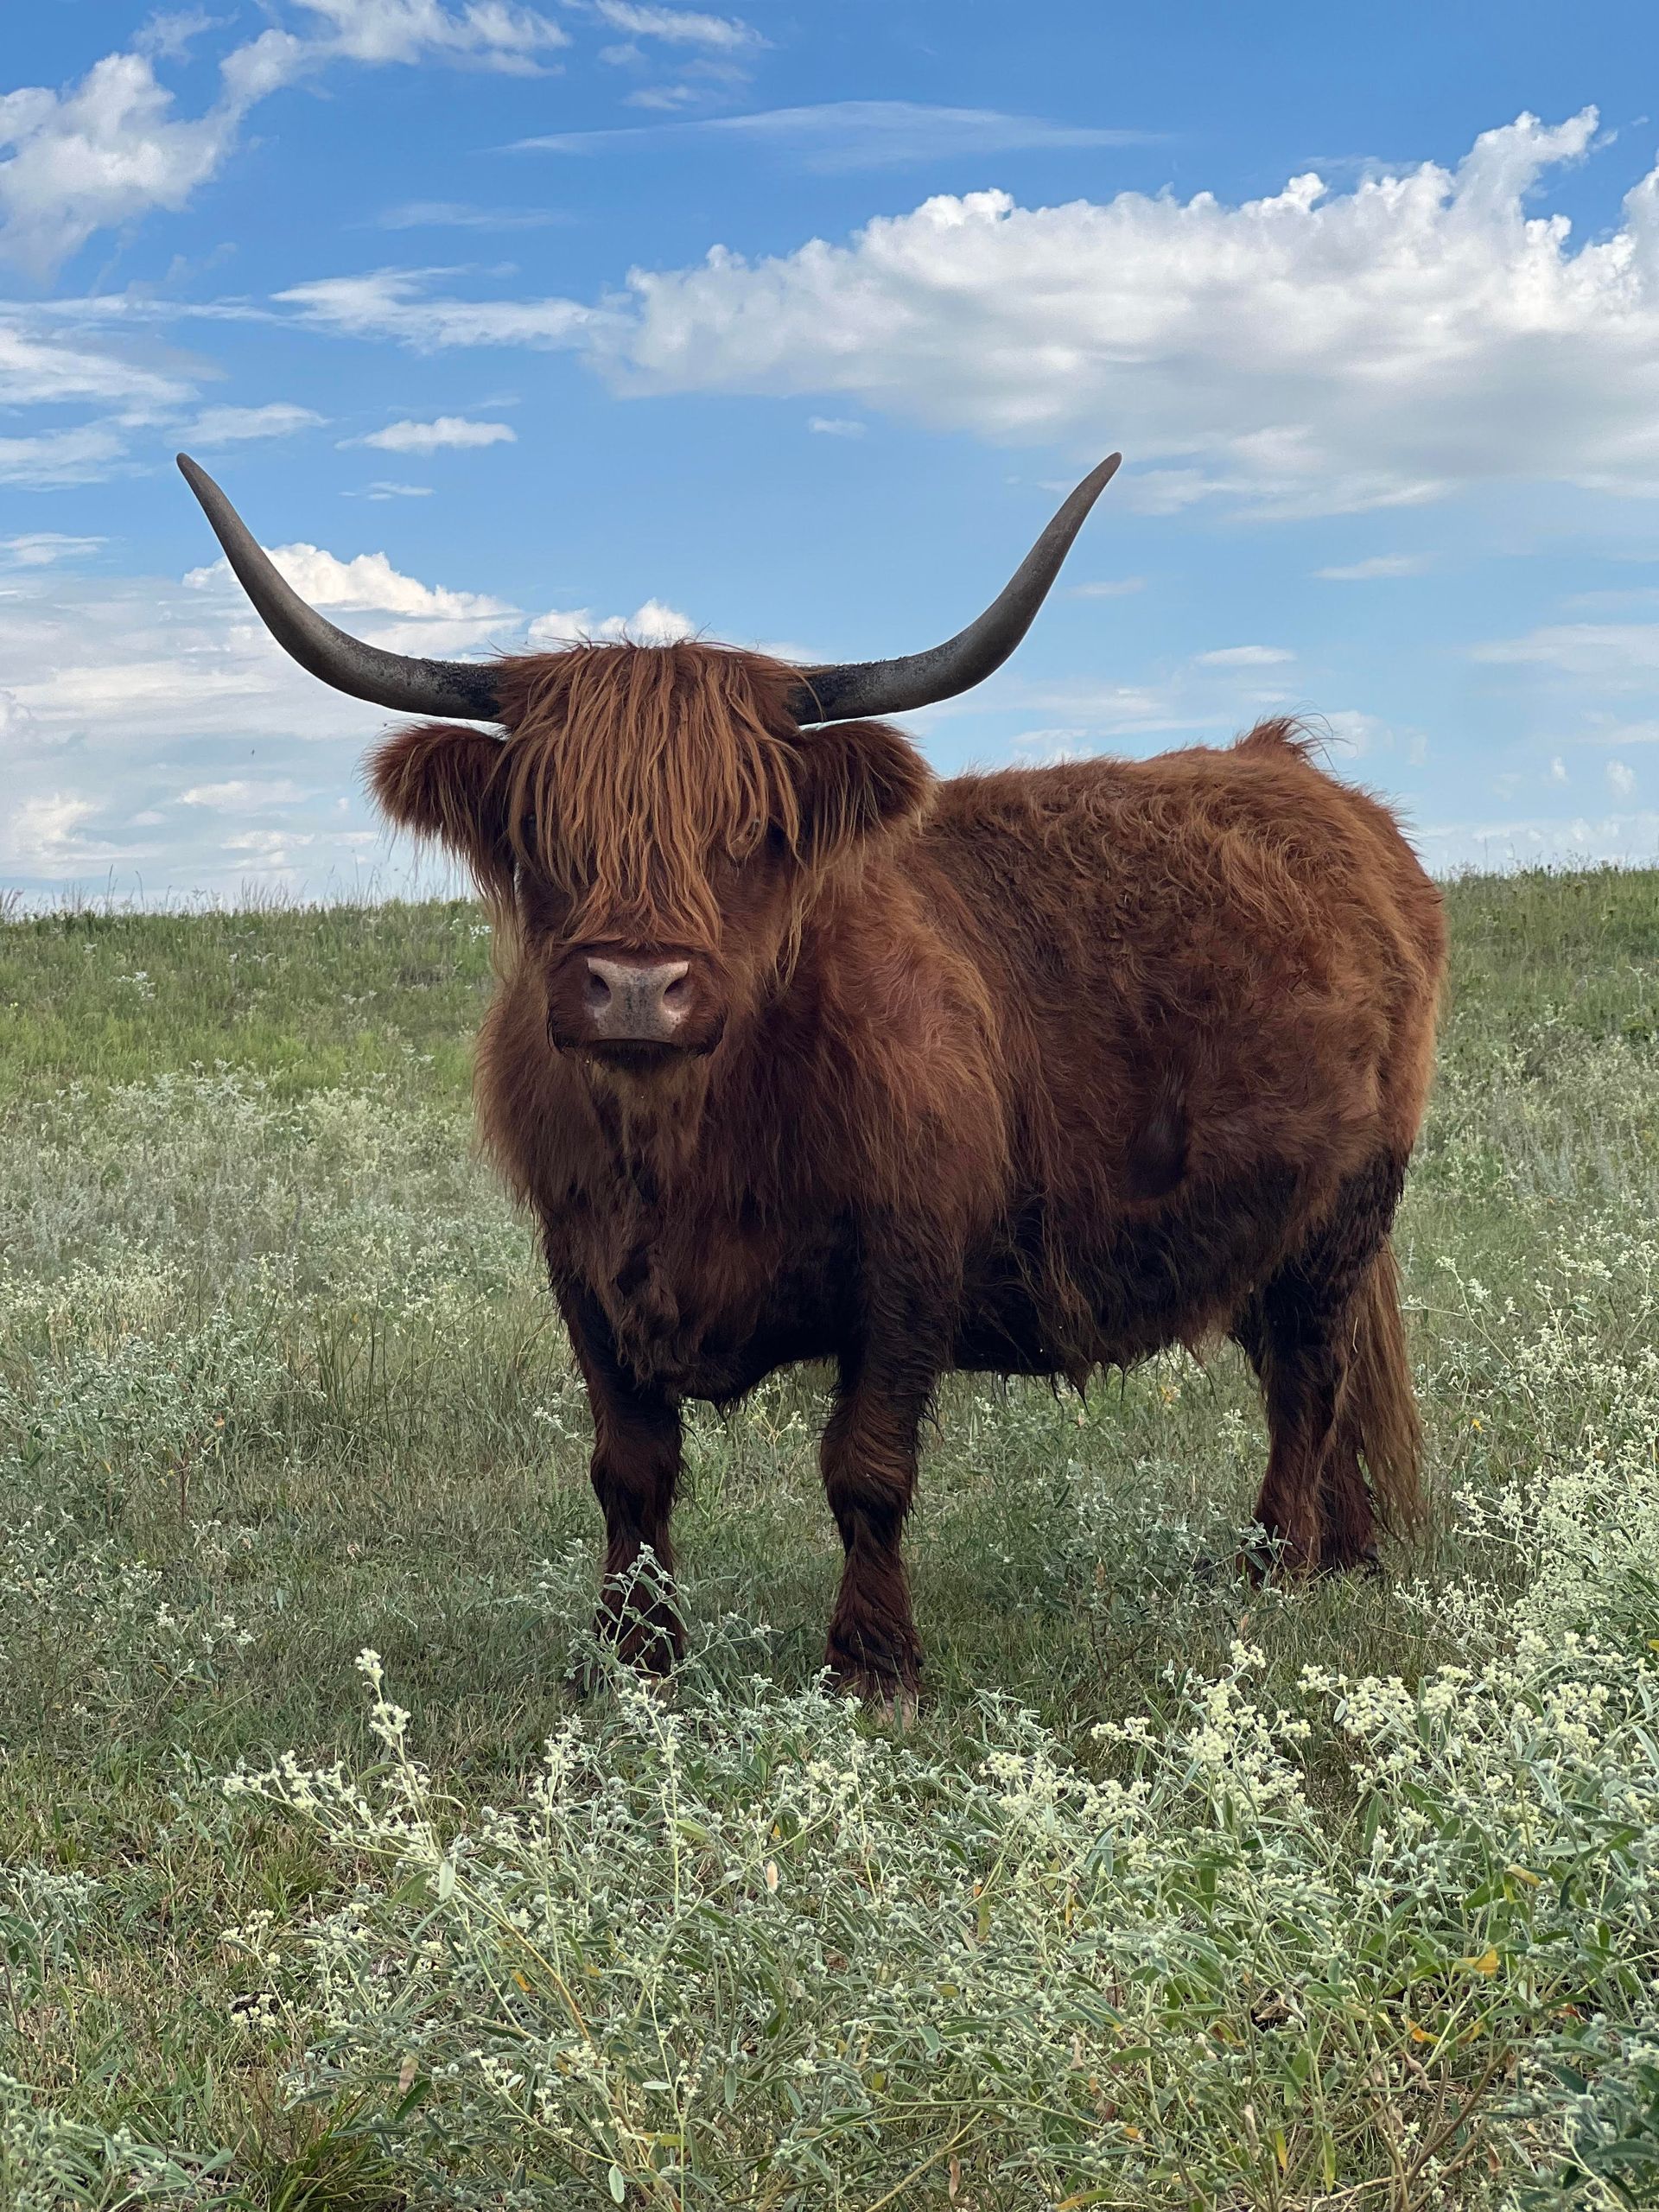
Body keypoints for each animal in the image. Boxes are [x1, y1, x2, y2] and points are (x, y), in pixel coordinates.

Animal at [179, 451, 1446, 1705]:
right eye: (546, 831)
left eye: (747, 829)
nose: (636, 986)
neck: (687, 1140)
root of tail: (1303, 778)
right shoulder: (577, 1257)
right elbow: (628, 1466)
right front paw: (633, 1655)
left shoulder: (911, 1257)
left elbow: (866, 1465)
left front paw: (873, 1664)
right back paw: (1346, 1553)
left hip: (1347, 1208)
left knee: (1308, 1381)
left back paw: (1274, 1568)